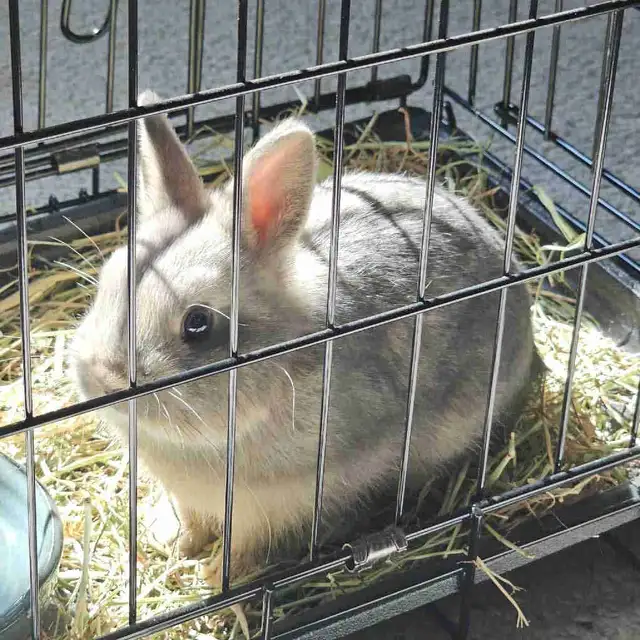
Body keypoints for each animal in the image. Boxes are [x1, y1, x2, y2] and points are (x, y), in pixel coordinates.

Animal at [70, 89, 539, 586]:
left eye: (198, 324)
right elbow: (190, 521)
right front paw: (174, 546)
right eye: (109, 279)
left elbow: (245, 553)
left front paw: (214, 578)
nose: (101, 380)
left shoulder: (274, 510)